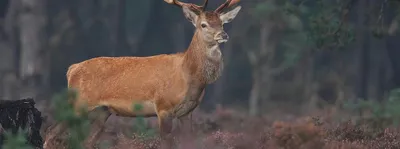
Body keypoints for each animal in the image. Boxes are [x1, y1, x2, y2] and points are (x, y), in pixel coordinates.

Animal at [45, 0, 242, 148]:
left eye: (222, 23)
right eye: (203, 24)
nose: (223, 35)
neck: (188, 76)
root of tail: (72, 69)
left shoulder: (187, 112)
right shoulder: (163, 107)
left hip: (102, 112)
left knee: (86, 141)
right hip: (79, 104)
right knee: (50, 132)